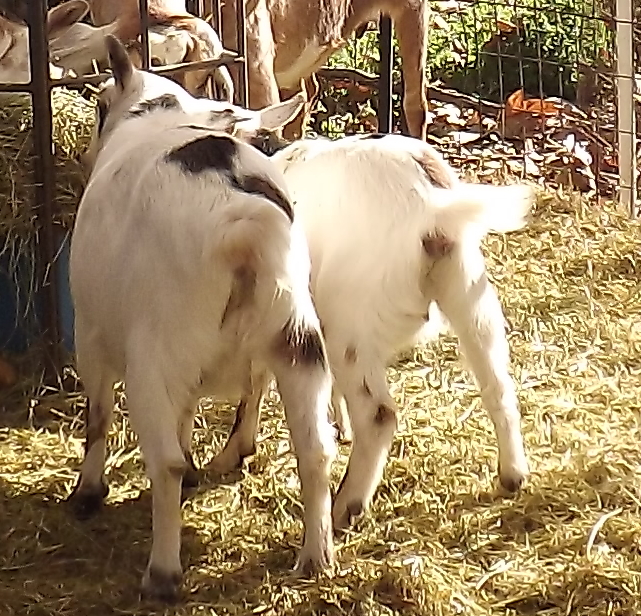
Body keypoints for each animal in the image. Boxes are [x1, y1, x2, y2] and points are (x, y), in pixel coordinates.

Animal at [67, 35, 335, 601]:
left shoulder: (91, 333)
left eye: (100, 105)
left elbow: (99, 415)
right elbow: (187, 412)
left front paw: (88, 492)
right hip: (298, 340)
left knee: (163, 462)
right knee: (315, 448)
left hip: (154, 353)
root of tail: (243, 227)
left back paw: (162, 575)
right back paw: (315, 556)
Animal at [210, 131, 533, 530]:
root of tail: (430, 207)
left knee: (379, 415)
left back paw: (345, 506)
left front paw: (230, 454)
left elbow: (253, 385)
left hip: (350, 318)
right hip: (468, 291)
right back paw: (512, 475)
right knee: (497, 384)